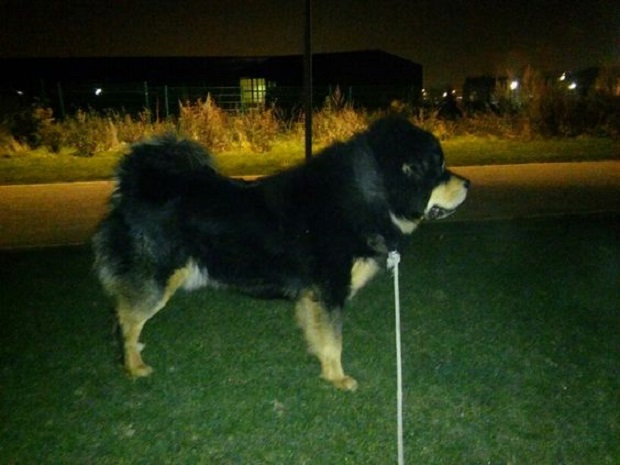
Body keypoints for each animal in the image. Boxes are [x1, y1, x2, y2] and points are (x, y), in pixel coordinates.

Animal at [93, 115, 470, 388]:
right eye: (438, 167)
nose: (468, 183)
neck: (369, 193)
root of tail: (133, 186)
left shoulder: (312, 296)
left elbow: (320, 336)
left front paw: (325, 369)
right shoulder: (330, 291)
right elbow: (335, 339)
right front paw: (339, 379)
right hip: (155, 283)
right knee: (125, 322)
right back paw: (134, 366)